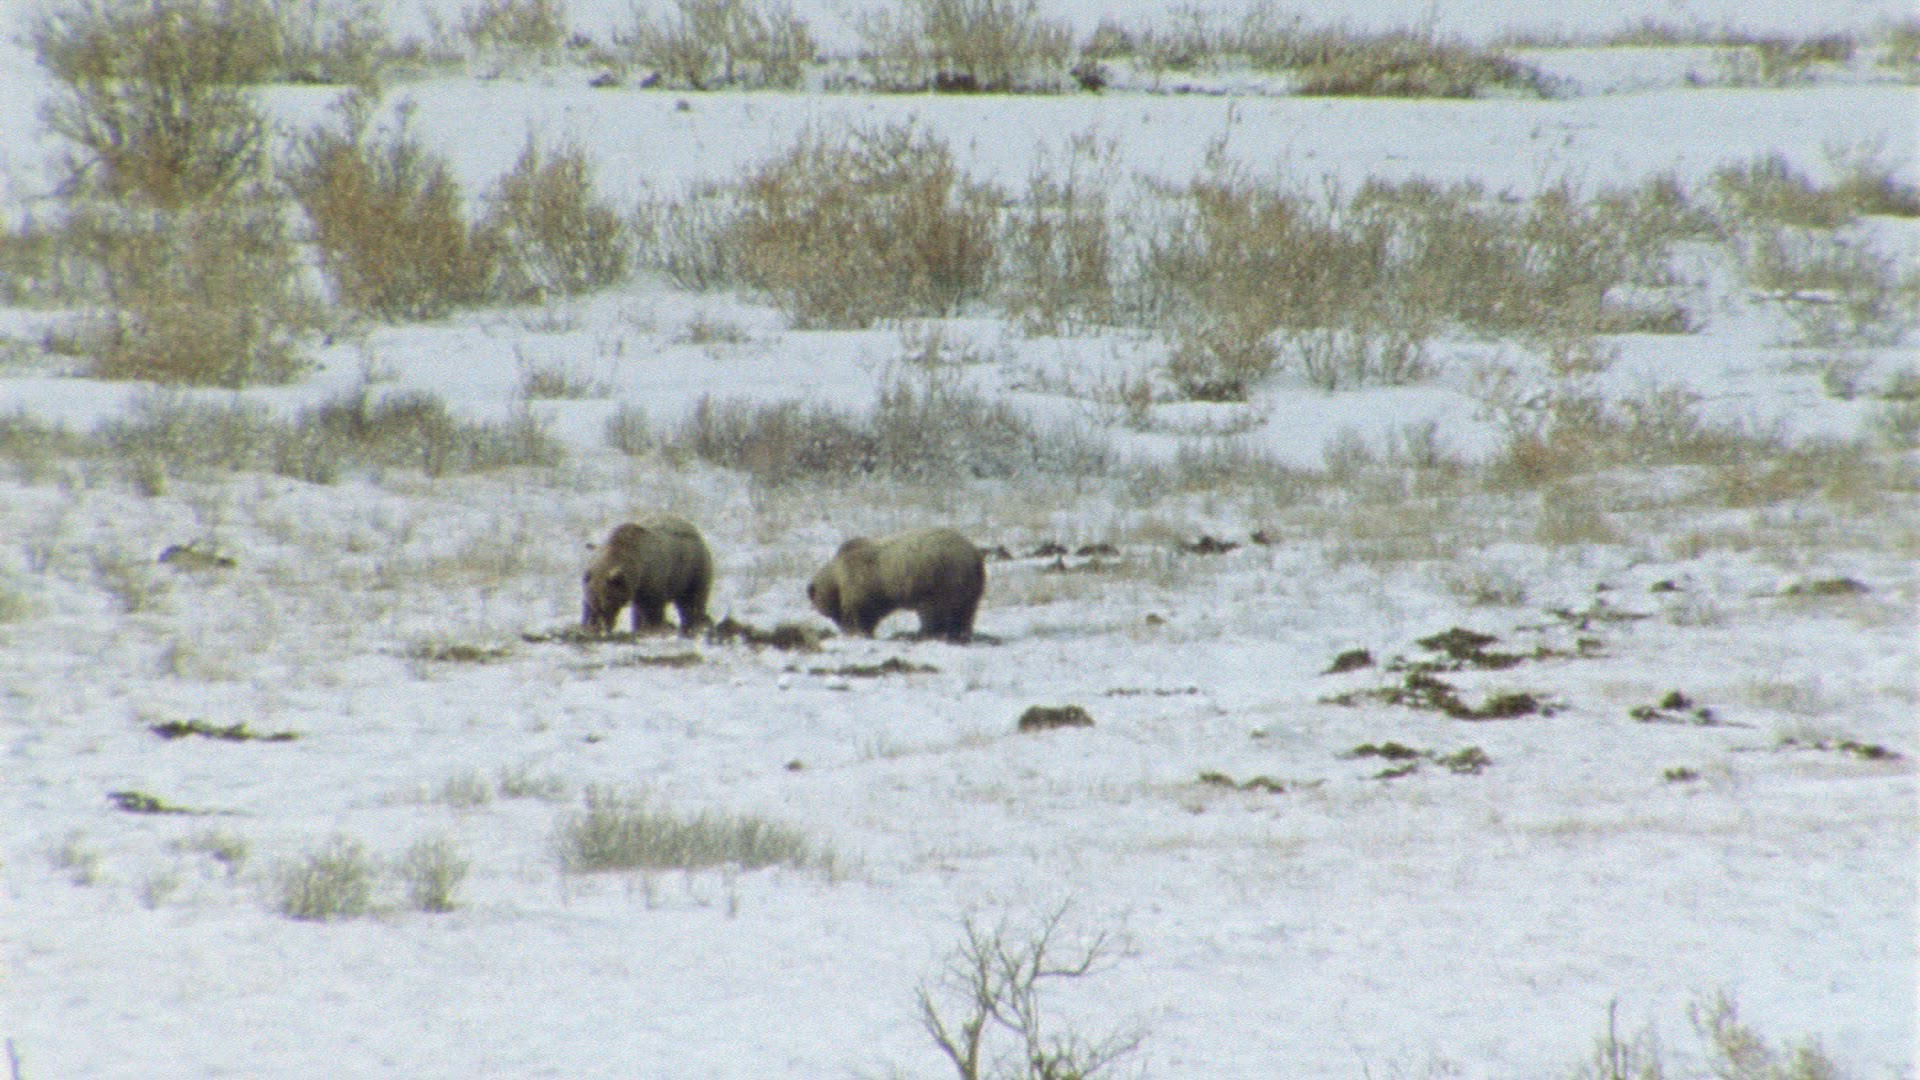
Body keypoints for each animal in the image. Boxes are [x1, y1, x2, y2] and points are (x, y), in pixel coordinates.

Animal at [581, 516, 714, 634]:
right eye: (596, 604)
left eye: (608, 602)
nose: (605, 627)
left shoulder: (652, 577)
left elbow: (652, 606)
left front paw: (654, 627)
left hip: (692, 570)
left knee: (693, 600)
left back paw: (694, 624)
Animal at [807, 527, 985, 642]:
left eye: (827, 612)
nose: (841, 628)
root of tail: (973, 553)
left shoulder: (862, 581)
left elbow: (862, 611)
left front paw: (859, 630)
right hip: (968, 585)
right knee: (965, 610)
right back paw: (960, 633)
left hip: (938, 577)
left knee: (934, 610)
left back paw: (923, 634)